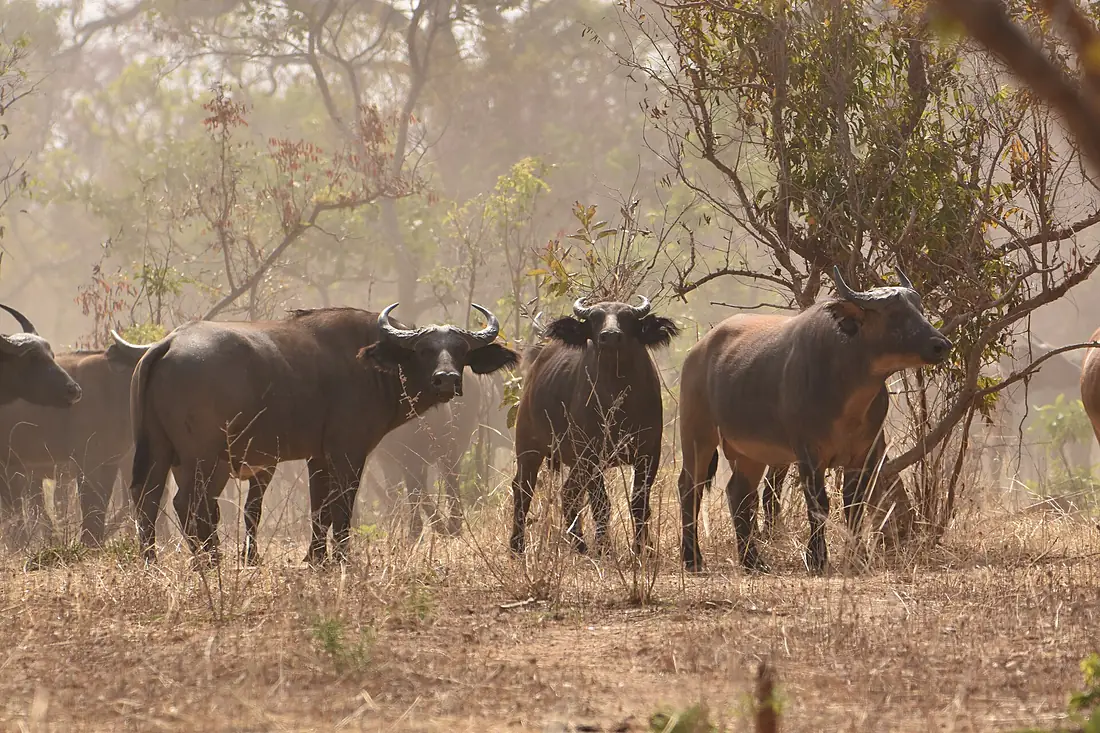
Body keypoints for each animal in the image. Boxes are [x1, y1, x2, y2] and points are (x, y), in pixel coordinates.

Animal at [129, 303, 518, 565]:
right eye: (424, 350)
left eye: (461, 350)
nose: (447, 380)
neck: (370, 364)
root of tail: (169, 343)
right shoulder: (349, 450)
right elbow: (341, 506)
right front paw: (343, 557)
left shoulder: (318, 456)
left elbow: (320, 508)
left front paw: (316, 558)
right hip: (205, 457)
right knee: (188, 503)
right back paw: (208, 560)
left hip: (160, 451)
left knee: (147, 500)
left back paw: (152, 561)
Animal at [510, 296, 678, 555]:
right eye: (594, 318)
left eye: (627, 317)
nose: (610, 336)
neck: (616, 395)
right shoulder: (591, 455)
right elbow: (601, 504)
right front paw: (604, 547)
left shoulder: (649, 452)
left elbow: (639, 503)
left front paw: (643, 547)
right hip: (529, 447)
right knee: (523, 489)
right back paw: (517, 546)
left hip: (575, 462)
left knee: (568, 493)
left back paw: (579, 543)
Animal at [677, 267, 951, 574]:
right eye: (894, 314)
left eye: (919, 309)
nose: (941, 345)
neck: (848, 395)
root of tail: (697, 352)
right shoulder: (809, 455)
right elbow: (819, 504)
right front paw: (817, 558)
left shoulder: (863, 455)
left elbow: (853, 505)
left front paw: (857, 558)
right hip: (697, 435)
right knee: (690, 488)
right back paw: (693, 558)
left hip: (749, 452)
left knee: (739, 494)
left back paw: (753, 561)